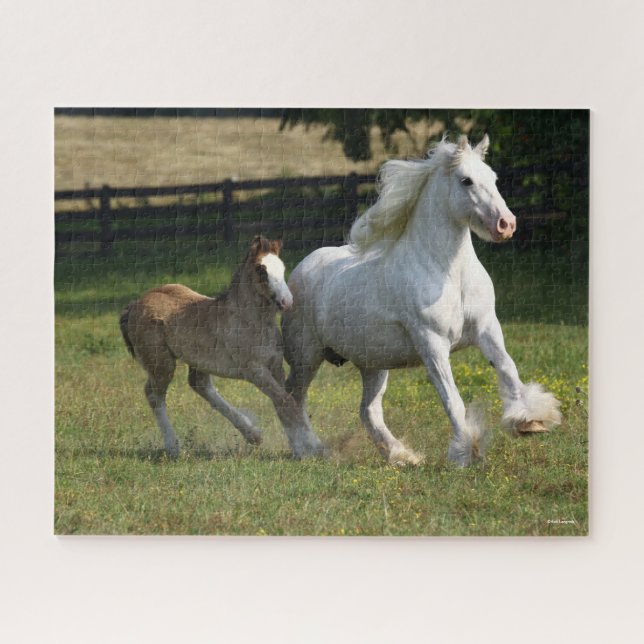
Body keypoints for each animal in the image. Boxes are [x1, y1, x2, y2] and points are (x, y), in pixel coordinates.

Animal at [120, 236, 324, 459]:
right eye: (261, 270)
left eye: (283, 268)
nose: (287, 301)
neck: (250, 321)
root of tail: (135, 305)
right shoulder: (254, 370)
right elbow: (286, 402)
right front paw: (314, 448)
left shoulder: (275, 365)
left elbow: (285, 403)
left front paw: (301, 448)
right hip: (161, 364)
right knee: (154, 394)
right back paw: (173, 447)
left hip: (197, 360)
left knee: (199, 384)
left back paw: (253, 434)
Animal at [282, 135, 562, 467]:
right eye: (466, 180)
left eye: (493, 178)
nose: (506, 224)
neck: (449, 274)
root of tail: (300, 269)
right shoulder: (432, 342)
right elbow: (452, 399)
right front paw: (467, 449)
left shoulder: (487, 328)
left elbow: (507, 368)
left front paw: (530, 421)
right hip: (306, 356)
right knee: (291, 398)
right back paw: (310, 450)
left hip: (373, 364)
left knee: (368, 410)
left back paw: (403, 456)